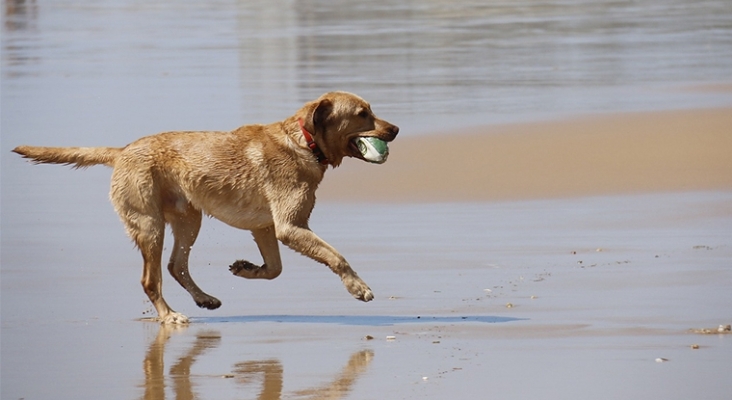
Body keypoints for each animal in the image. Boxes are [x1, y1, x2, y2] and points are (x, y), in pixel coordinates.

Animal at [12, 92, 400, 324]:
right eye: (363, 114)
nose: (396, 129)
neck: (304, 142)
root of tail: (122, 151)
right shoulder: (289, 227)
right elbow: (337, 257)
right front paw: (358, 288)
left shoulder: (265, 227)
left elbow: (274, 270)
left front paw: (247, 269)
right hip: (150, 225)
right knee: (151, 279)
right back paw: (169, 316)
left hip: (188, 219)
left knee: (175, 265)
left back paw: (204, 299)